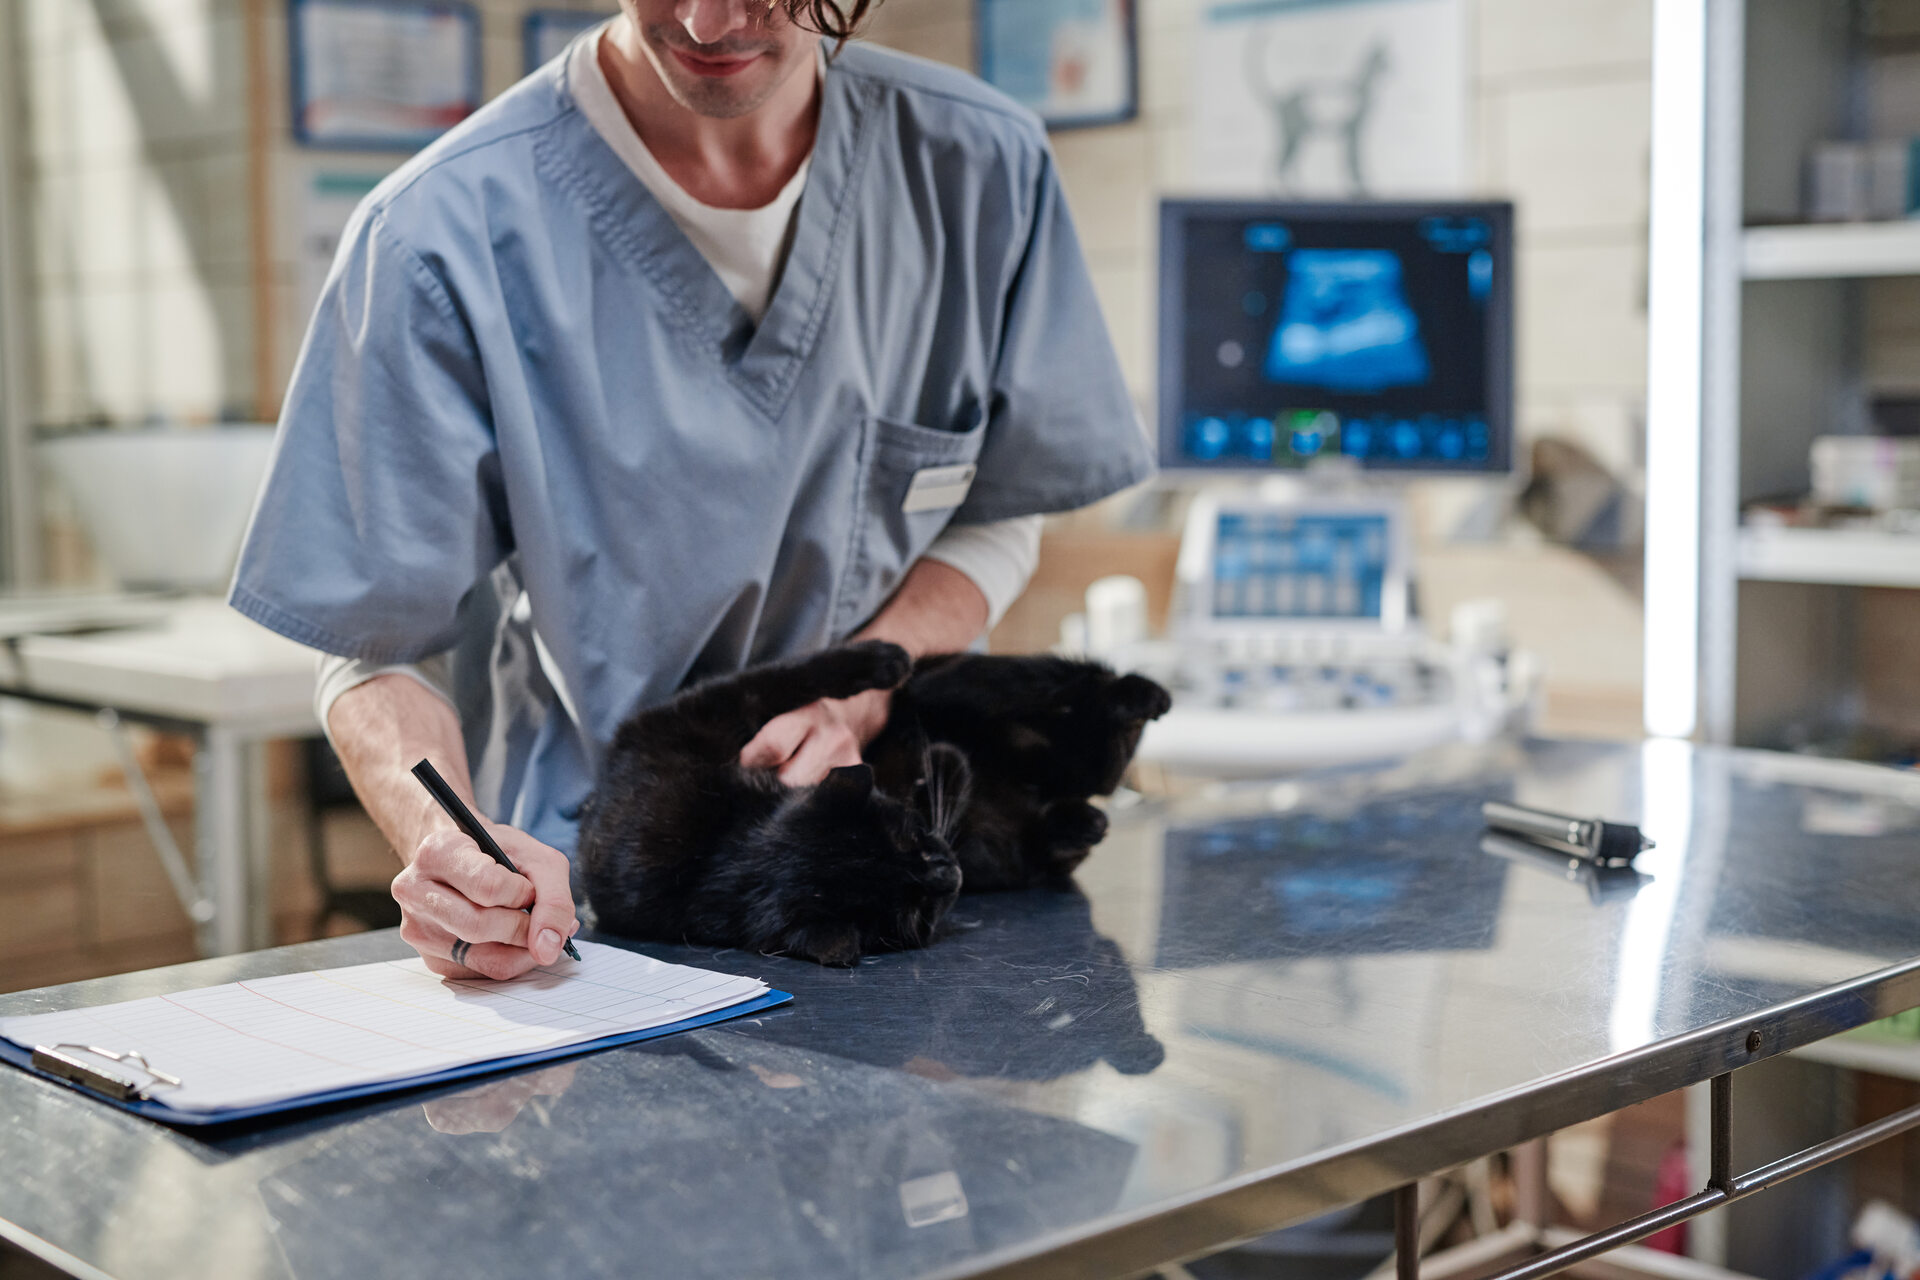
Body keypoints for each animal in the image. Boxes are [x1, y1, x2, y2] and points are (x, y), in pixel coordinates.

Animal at [572, 644, 967, 967]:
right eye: (919, 912)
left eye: (917, 835)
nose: (953, 874)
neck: (722, 854)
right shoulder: (697, 714)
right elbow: (782, 678)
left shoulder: (689, 716)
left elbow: (780, 677)